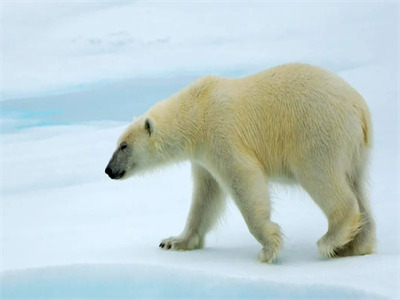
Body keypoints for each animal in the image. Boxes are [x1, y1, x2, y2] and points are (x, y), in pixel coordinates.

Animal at [105, 63, 376, 262]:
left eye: (124, 145)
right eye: (117, 143)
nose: (108, 170)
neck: (197, 111)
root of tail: (359, 107)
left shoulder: (221, 133)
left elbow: (243, 179)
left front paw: (269, 247)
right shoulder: (203, 157)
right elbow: (206, 196)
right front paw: (173, 241)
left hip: (317, 132)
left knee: (322, 177)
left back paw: (331, 240)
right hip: (354, 150)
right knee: (357, 185)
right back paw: (355, 245)